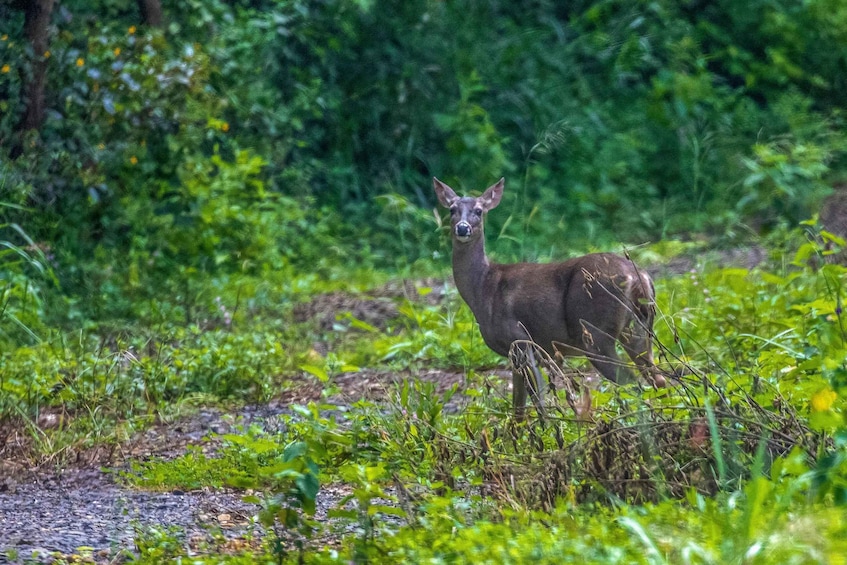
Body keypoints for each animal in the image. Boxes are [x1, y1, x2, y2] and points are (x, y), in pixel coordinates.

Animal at [433, 177, 666, 420]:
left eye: (479, 211)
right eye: (451, 209)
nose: (462, 228)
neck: (484, 287)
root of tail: (639, 277)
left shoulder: (519, 339)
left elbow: (533, 402)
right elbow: (523, 405)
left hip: (595, 333)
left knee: (632, 383)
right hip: (638, 329)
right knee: (657, 379)